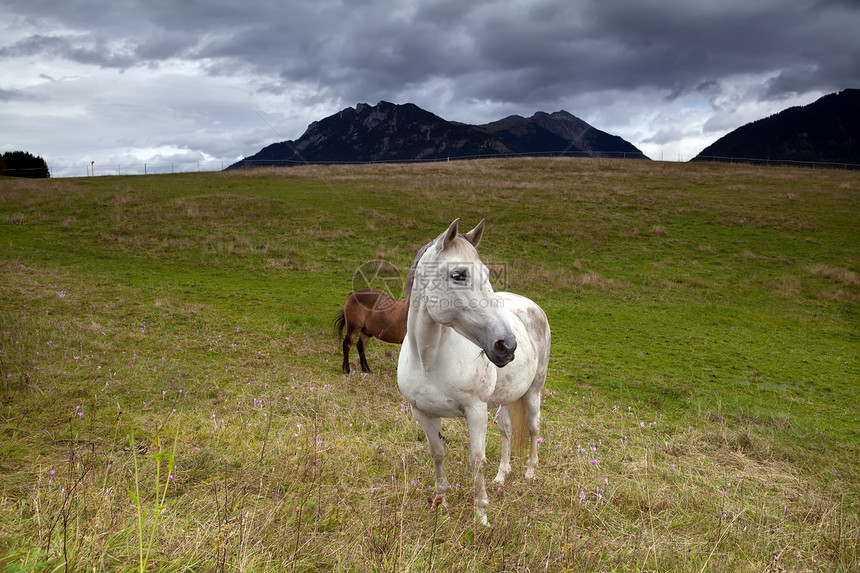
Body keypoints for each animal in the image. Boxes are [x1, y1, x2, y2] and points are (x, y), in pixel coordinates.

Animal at [398, 220, 552, 528]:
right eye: (459, 275)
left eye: (488, 275)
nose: (507, 346)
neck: (429, 361)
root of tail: (531, 305)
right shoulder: (422, 413)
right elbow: (437, 454)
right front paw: (441, 503)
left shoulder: (476, 410)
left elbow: (476, 460)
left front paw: (481, 516)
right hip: (504, 399)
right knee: (506, 431)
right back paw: (502, 476)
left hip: (533, 392)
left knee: (533, 429)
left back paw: (530, 472)